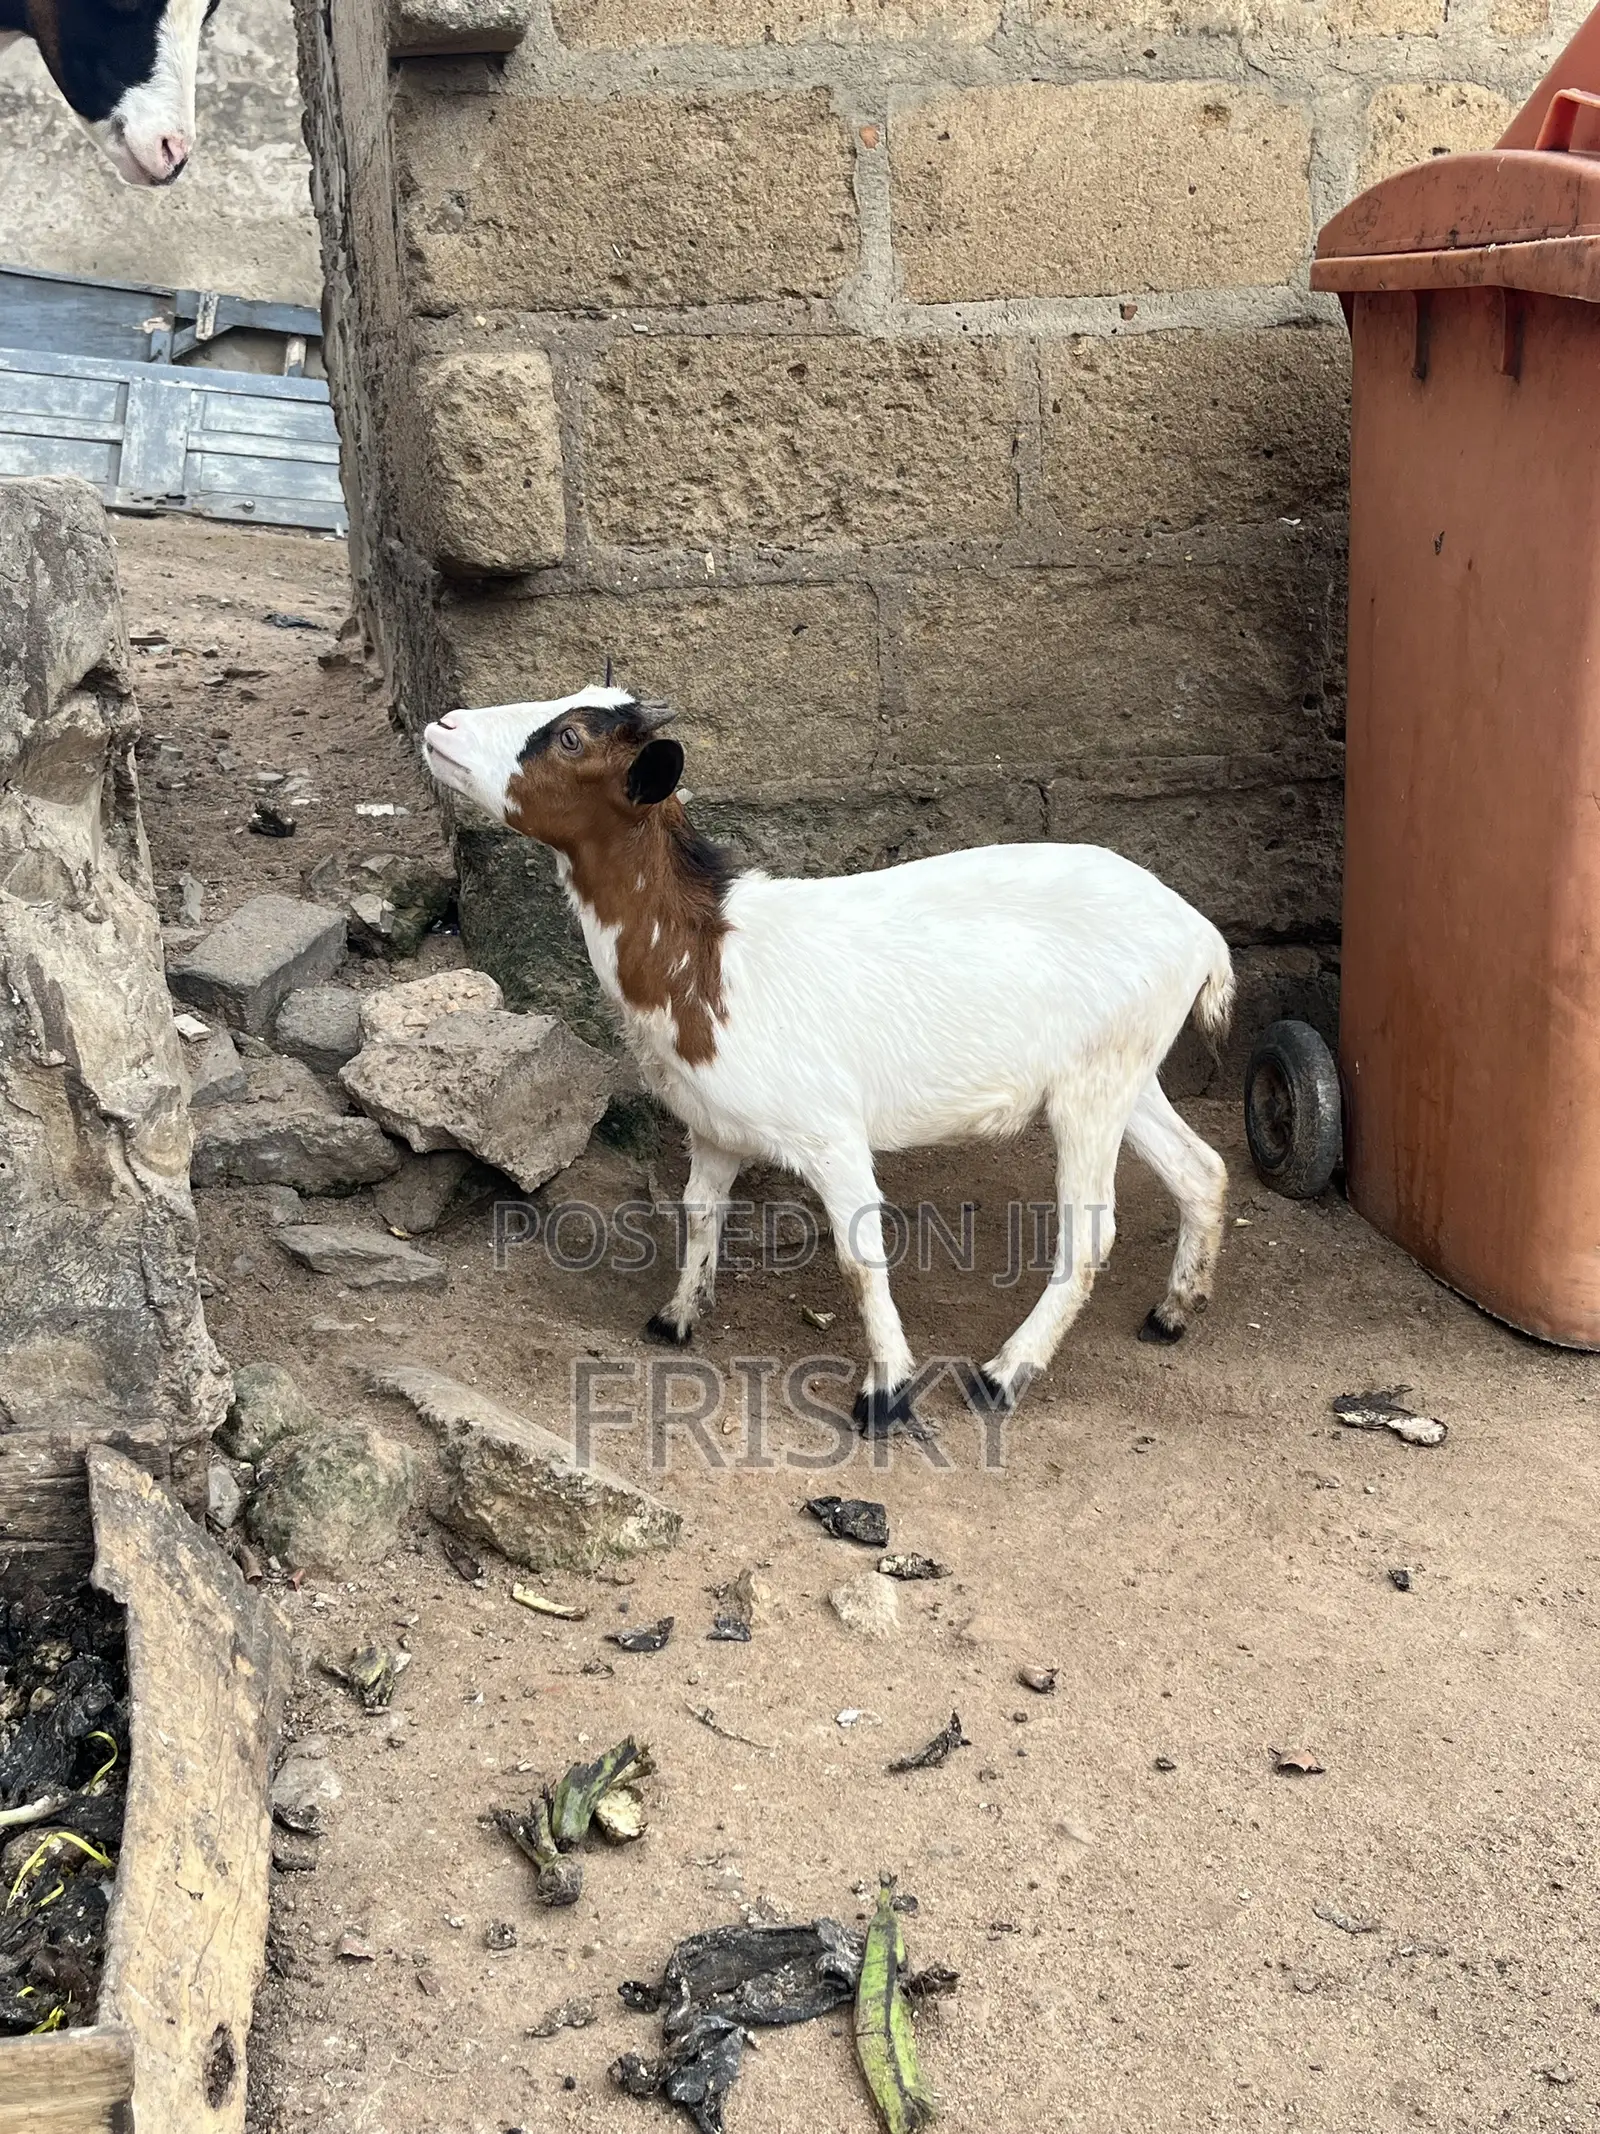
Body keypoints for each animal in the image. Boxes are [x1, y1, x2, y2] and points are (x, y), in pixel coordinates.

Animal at [423, 687, 1234, 1433]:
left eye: (569, 737)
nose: (442, 723)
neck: (708, 958)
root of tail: (1201, 934)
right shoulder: (713, 1125)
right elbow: (699, 1209)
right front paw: (677, 1316)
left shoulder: (830, 1134)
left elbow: (858, 1255)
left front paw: (887, 1395)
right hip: (1127, 1071)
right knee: (1201, 1168)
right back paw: (1174, 1310)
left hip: (1094, 1084)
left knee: (1091, 1228)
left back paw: (1002, 1376)